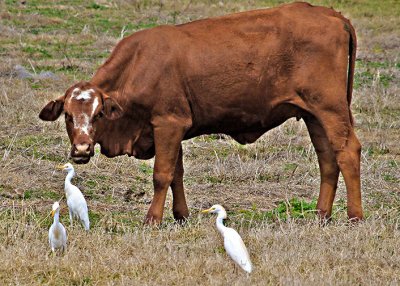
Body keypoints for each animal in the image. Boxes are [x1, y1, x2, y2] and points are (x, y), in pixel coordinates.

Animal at [39, 2, 362, 225]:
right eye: (68, 115)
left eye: (98, 115)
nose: (81, 149)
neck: (140, 64)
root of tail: (331, 14)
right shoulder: (171, 129)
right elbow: (177, 173)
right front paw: (181, 215)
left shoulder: (168, 124)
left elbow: (162, 174)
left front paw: (152, 219)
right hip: (313, 115)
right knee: (327, 159)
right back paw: (322, 214)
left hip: (330, 109)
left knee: (347, 152)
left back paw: (355, 216)